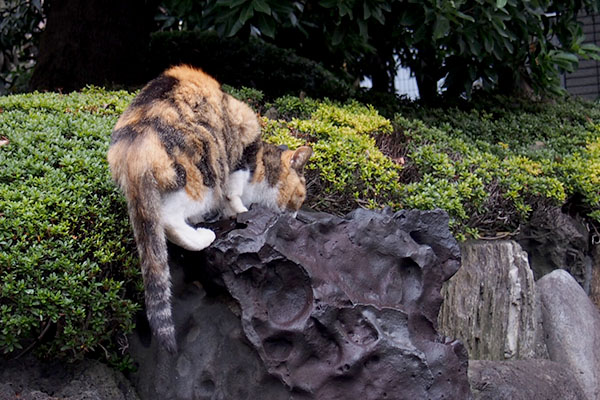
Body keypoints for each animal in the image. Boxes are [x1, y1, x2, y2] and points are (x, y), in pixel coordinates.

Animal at [107, 64, 312, 352]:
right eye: (300, 196)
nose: (295, 218)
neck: (262, 161)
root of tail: (135, 146)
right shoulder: (244, 151)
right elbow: (235, 187)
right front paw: (240, 210)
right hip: (202, 175)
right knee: (169, 219)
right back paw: (204, 235)